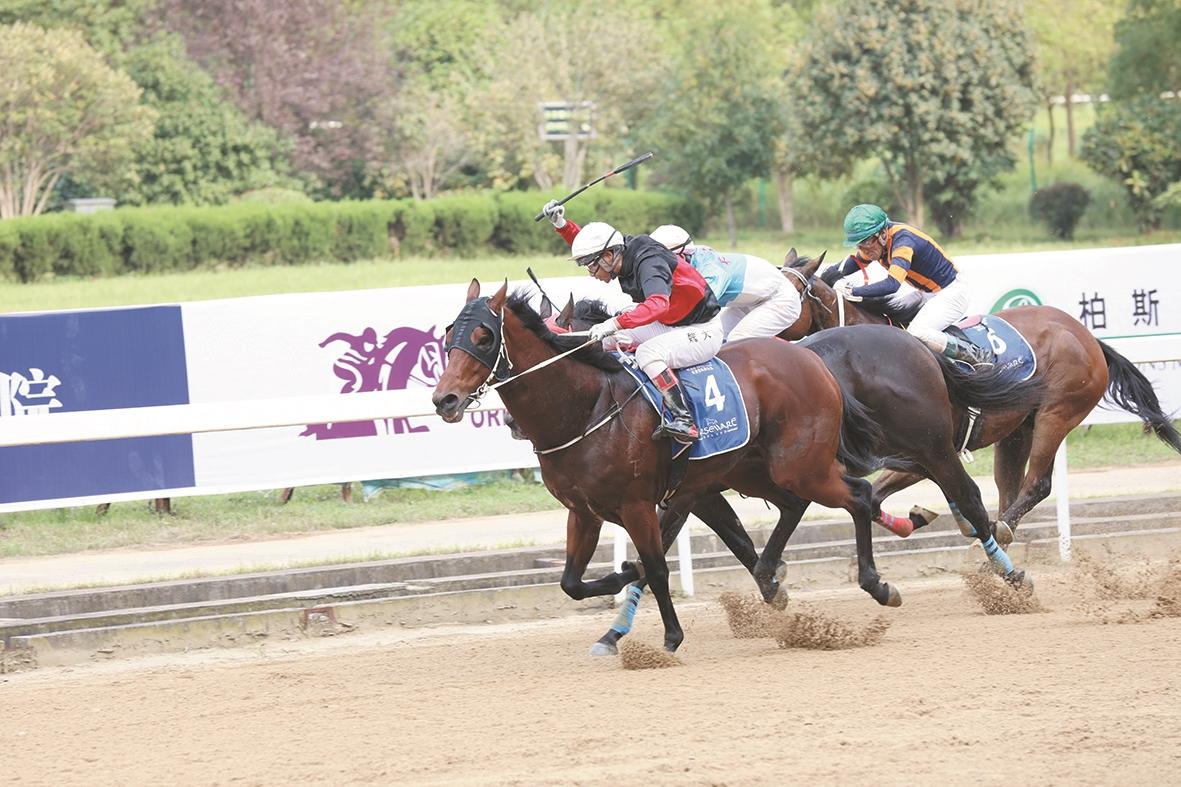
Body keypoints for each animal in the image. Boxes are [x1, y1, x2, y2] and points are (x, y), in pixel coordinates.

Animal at [432, 279, 892, 652]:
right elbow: (571, 583)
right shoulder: (586, 510)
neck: (586, 408)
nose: (445, 400)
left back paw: (877, 583)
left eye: (484, 336)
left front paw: (667, 635)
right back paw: (778, 573)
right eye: (448, 334)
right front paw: (620, 588)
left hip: (802, 466)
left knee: (859, 496)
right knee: (796, 505)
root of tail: (813, 361)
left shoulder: (642, 504)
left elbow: (655, 567)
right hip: (756, 470)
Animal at [780, 251, 1181, 543]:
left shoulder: (931, 447)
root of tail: (1086, 336)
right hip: (1018, 430)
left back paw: (999, 532)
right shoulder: (914, 455)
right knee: (1009, 488)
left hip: (1058, 413)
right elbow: (876, 496)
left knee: (1037, 483)